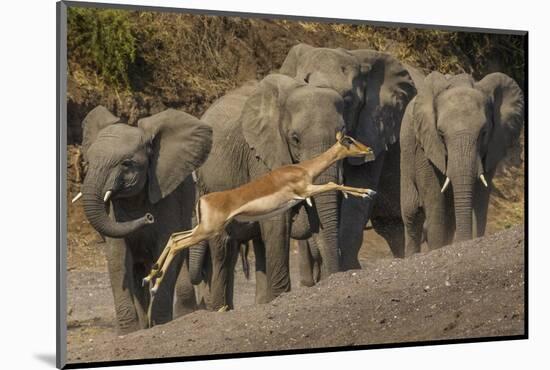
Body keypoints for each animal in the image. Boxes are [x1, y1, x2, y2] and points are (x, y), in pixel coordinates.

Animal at [78, 105, 212, 334]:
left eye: (126, 164)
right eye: (88, 162)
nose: (148, 218)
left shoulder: (167, 195)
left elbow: (165, 250)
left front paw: (161, 324)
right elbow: (117, 257)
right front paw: (128, 332)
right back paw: (143, 326)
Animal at [188, 73, 348, 310]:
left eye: (344, 135)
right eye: (295, 138)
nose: (336, 275)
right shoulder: (261, 156)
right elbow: (277, 221)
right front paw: (281, 296)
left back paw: (259, 302)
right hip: (209, 184)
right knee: (223, 249)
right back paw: (220, 309)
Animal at [402, 71, 528, 253]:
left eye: (484, 132)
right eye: (440, 134)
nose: (462, 242)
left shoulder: (493, 146)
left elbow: (480, 198)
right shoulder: (425, 146)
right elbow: (435, 201)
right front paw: (438, 249)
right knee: (412, 213)